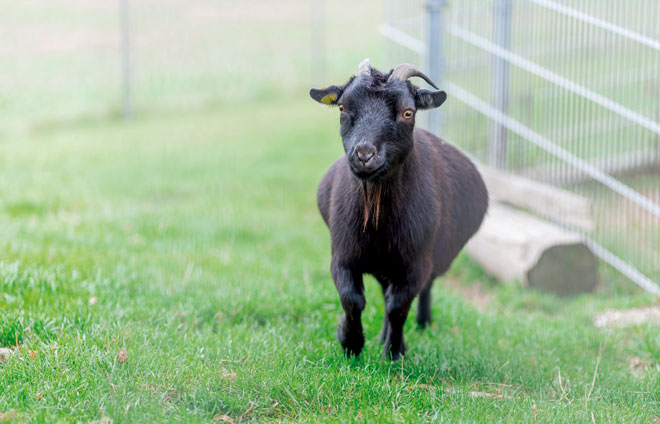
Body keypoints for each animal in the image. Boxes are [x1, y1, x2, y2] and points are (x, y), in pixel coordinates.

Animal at [310, 58, 490, 358]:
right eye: (343, 107)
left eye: (408, 113)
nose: (364, 154)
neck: (376, 220)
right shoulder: (343, 255)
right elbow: (353, 299)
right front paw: (351, 343)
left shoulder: (415, 263)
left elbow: (398, 307)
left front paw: (394, 353)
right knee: (385, 293)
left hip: (436, 256)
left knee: (423, 289)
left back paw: (422, 324)